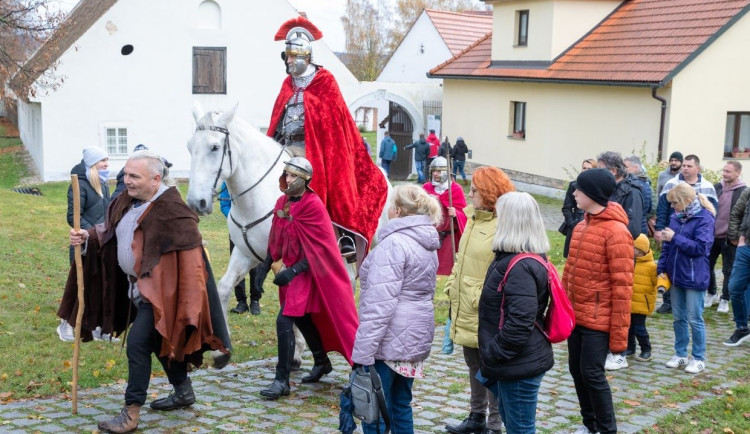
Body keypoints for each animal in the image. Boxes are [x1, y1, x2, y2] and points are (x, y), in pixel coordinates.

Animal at [188, 105, 394, 366]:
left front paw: (296, 350)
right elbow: (224, 287)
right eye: (190, 147)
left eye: (215, 147)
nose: (197, 202)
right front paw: (220, 351)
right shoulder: (245, 254)